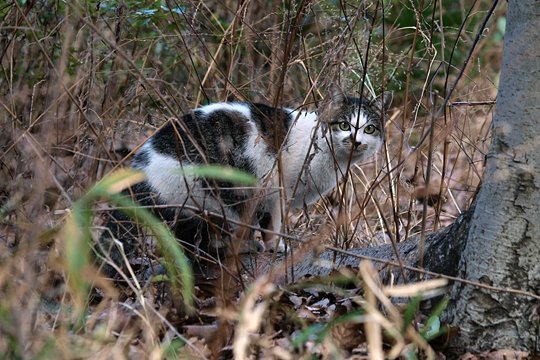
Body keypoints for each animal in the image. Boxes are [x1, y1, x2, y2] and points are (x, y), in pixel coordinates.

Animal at [98, 84, 392, 276]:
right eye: (344, 125)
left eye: (369, 128)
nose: (356, 140)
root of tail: (140, 167)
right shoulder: (276, 189)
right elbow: (274, 224)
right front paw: (277, 247)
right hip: (216, 195)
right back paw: (239, 246)